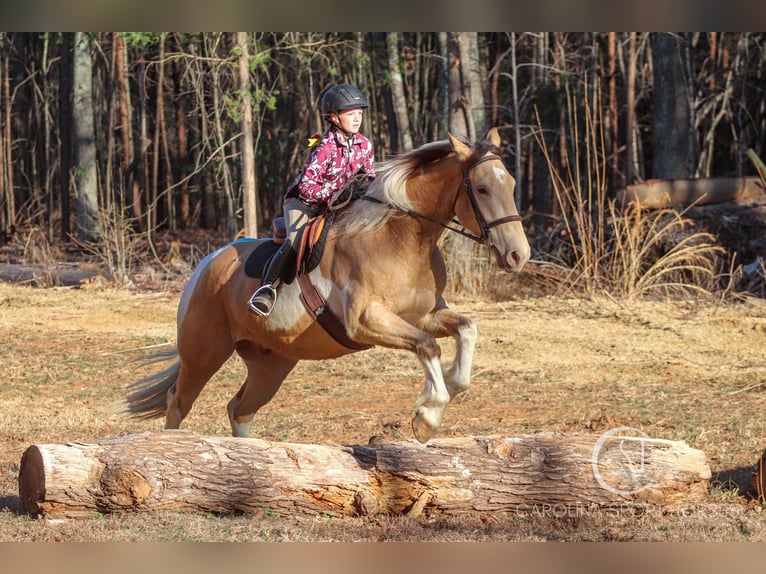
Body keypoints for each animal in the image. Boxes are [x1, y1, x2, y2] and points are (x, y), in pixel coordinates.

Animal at [124, 129, 536, 446]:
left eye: (513, 184)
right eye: (481, 188)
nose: (519, 255)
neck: (404, 238)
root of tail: (207, 266)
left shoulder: (425, 315)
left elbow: (467, 329)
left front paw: (451, 382)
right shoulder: (367, 320)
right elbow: (427, 345)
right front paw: (427, 416)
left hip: (272, 363)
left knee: (240, 409)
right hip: (204, 353)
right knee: (179, 402)